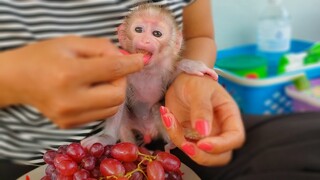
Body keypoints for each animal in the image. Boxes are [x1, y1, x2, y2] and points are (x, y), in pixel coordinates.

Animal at [81, 3, 219, 150]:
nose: (145, 40)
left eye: (157, 33)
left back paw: (171, 144)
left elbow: (175, 75)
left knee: (157, 108)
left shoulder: (165, 73)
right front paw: (106, 137)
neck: (146, 70)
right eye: (138, 29)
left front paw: (192, 66)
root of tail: (147, 131)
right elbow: (119, 102)